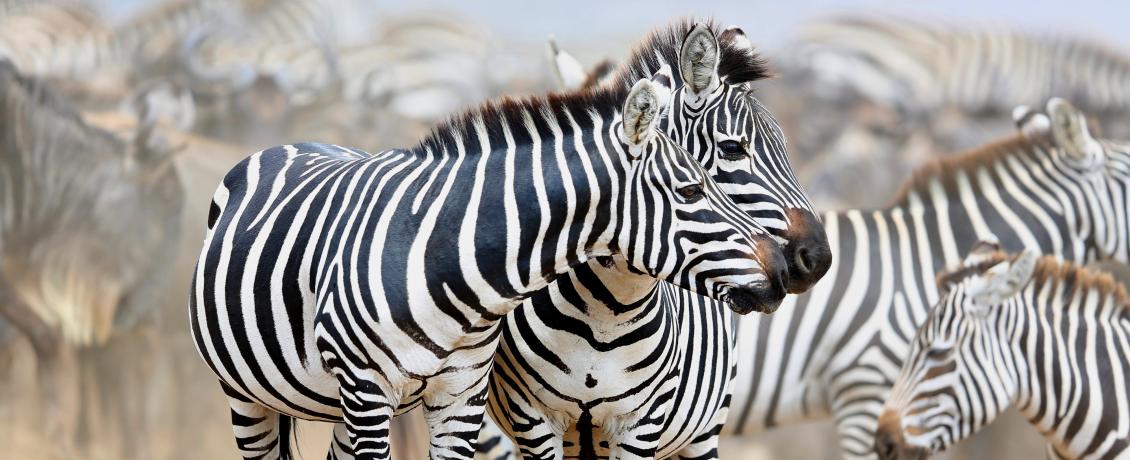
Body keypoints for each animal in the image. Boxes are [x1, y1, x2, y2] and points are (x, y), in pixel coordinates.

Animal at [189, 66, 793, 459]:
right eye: (691, 190)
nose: (784, 271)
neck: (449, 273)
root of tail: (288, 143)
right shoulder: (368, 390)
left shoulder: (459, 398)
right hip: (249, 395)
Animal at [478, 21, 831, 459]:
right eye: (733, 148)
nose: (818, 258)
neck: (603, 312)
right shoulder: (531, 420)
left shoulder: (642, 424)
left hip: (703, 431)